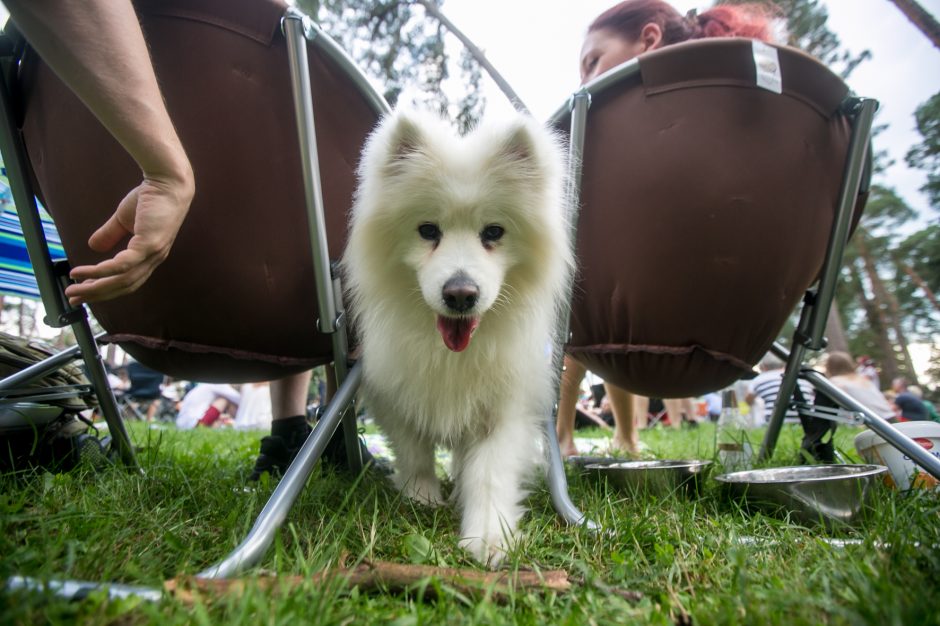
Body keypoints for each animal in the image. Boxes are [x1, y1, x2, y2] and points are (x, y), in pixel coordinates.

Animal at [342, 108, 568, 564]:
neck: (454, 354)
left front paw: (488, 538)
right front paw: (422, 497)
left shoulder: (504, 406)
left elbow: (490, 472)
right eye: (428, 230)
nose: (461, 294)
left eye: (494, 232)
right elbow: (413, 450)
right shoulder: (394, 391)